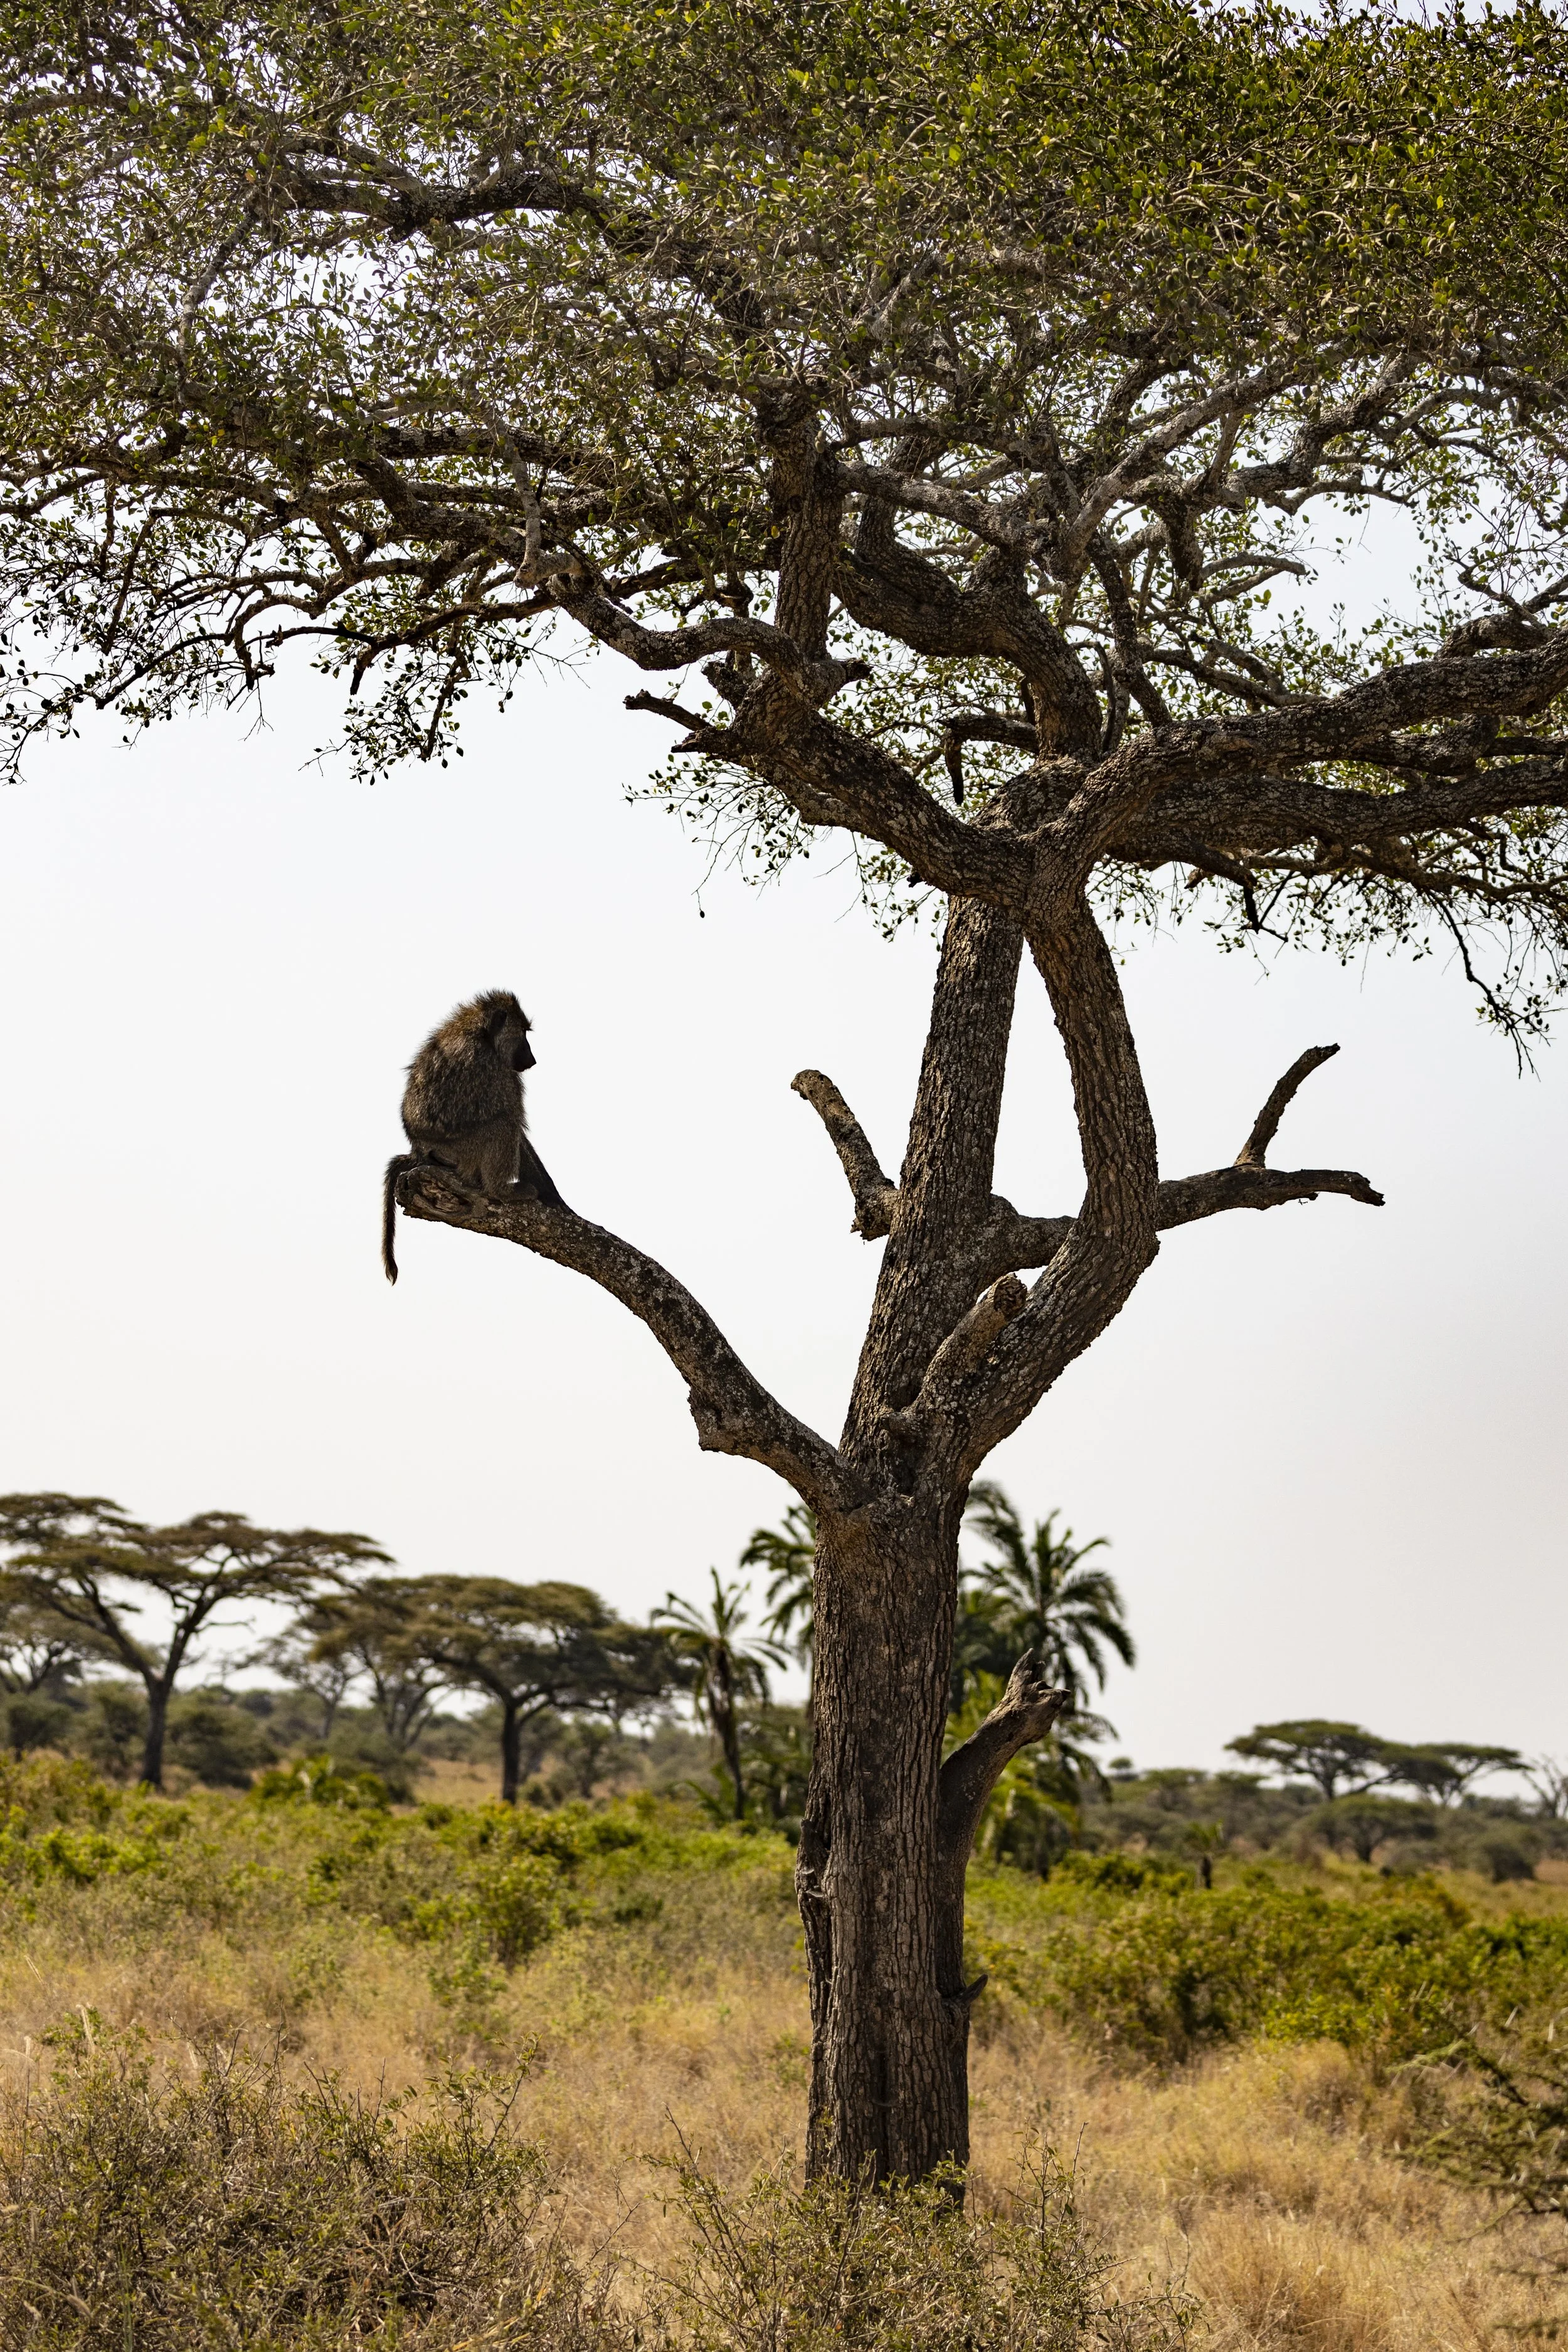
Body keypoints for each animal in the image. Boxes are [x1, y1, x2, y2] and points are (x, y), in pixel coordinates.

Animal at [382, 990, 564, 1283]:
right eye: (523, 1033)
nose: (533, 1060)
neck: (482, 1033)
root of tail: (418, 1148)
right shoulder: (497, 1071)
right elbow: (514, 1121)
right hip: (461, 1151)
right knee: (503, 1124)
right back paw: (502, 1191)